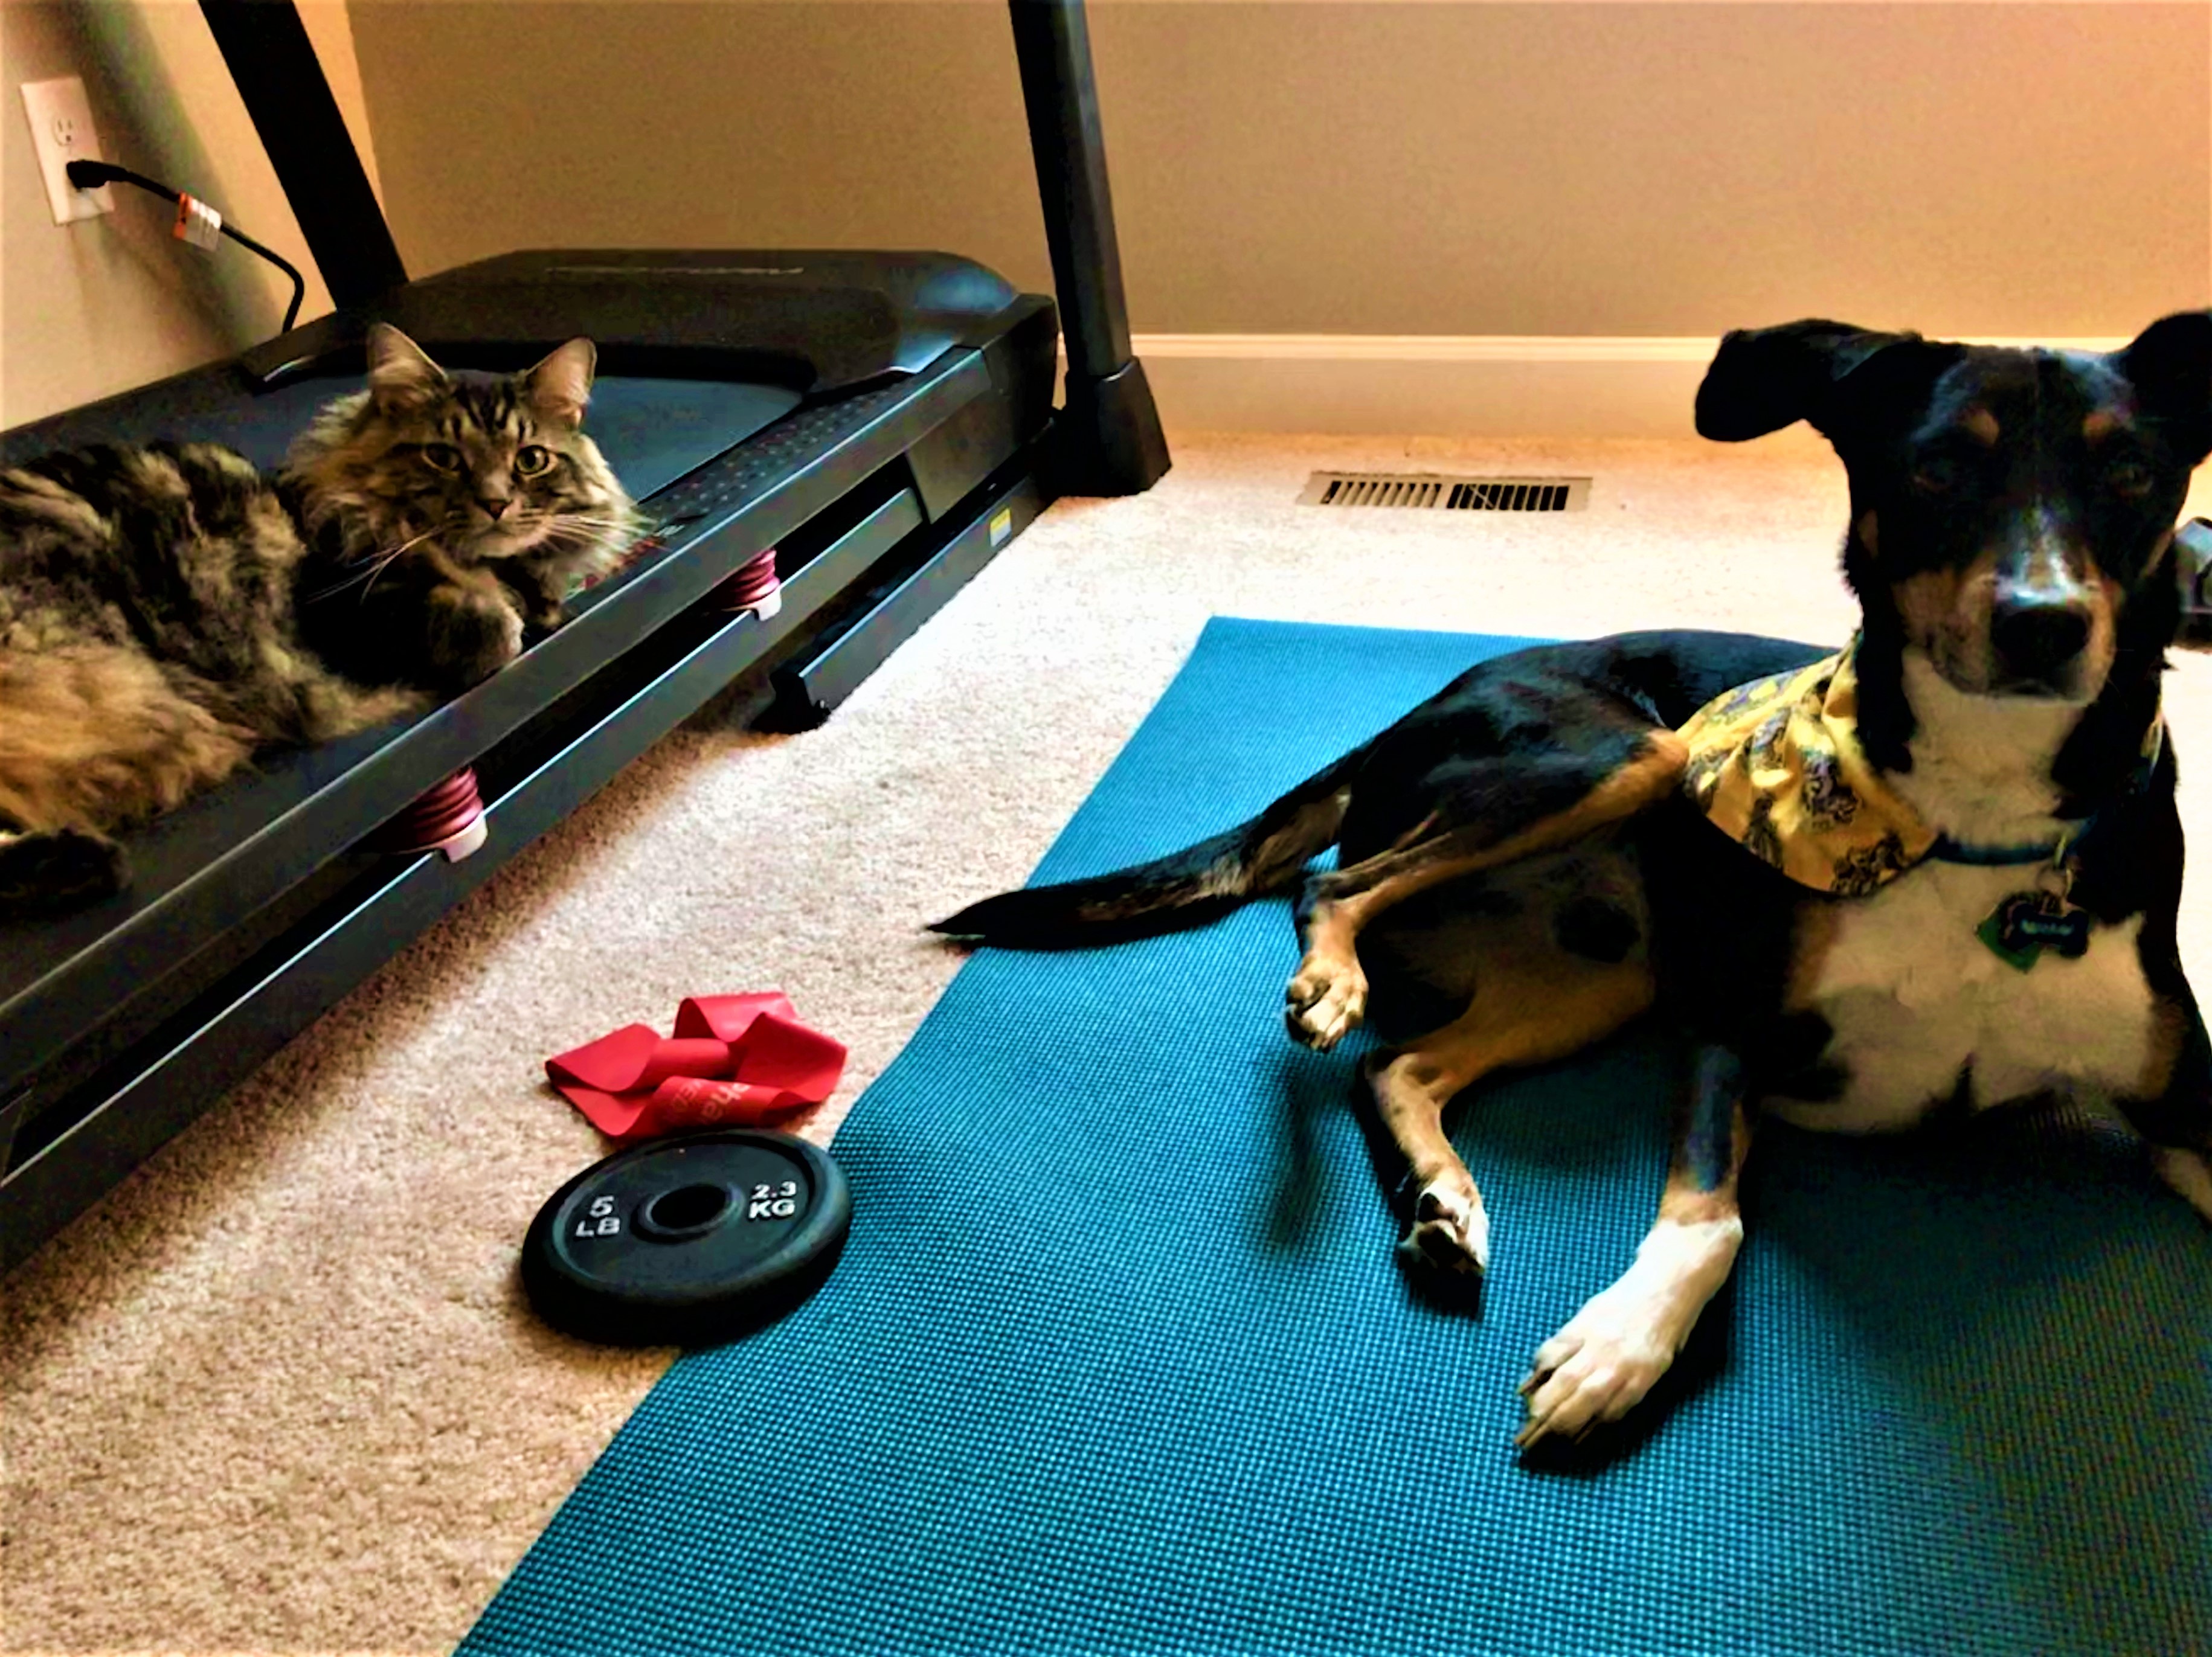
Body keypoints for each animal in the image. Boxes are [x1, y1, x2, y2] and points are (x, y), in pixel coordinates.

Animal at [0, 322, 641, 915]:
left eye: (531, 460)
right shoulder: (341, 613)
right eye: (443, 456)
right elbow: (491, 630)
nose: (496, 503)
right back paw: (91, 863)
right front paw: (502, 617)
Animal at [933, 309, 2212, 1451]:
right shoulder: (1726, 1025)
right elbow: (1707, 1220)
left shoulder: (2178, 1092)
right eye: (1938, 465)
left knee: (1399, 1065)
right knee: (1333, 893)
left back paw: (1445, 1199)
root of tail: (1421, 703)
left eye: (2133, 472)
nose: (2042, 624)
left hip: (1601, 968)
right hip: (1630, 761)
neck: (1976, 819)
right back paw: (1333, 987)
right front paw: (1619, 1347)